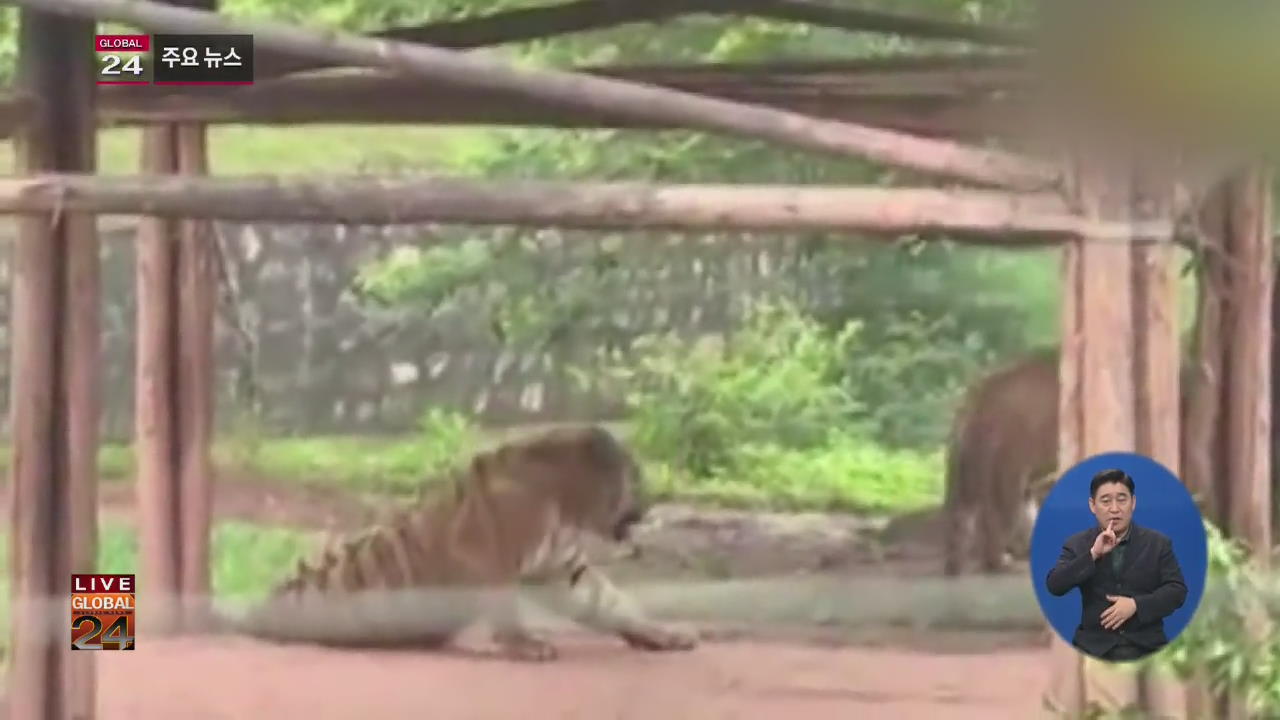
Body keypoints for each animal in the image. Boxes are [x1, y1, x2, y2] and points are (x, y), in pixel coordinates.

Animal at [231, 422, 696, 661]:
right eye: (637, 476)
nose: (652, 503)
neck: (566, 506)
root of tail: (254, 611)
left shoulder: (562, 570)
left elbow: (610, 602)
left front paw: (661, 634)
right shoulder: (487, 557)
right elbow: (506, 607)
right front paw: (526, 646)